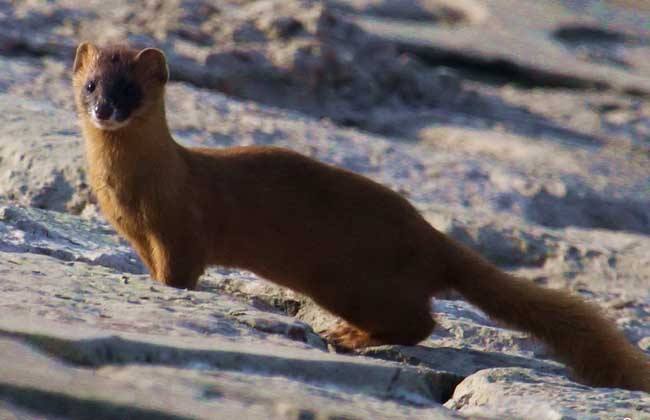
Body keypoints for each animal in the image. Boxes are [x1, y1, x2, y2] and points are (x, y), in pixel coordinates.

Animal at [73, 41, 644, 390]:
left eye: (131, 90)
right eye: (92, 85)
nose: (105, 110)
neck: (130, 193)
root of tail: (430, 235)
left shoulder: (182, 230)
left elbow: (180, 273)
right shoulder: (138, 236)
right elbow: (154, 269)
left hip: (349, 278)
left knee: (420, 320)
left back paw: (348, 336)